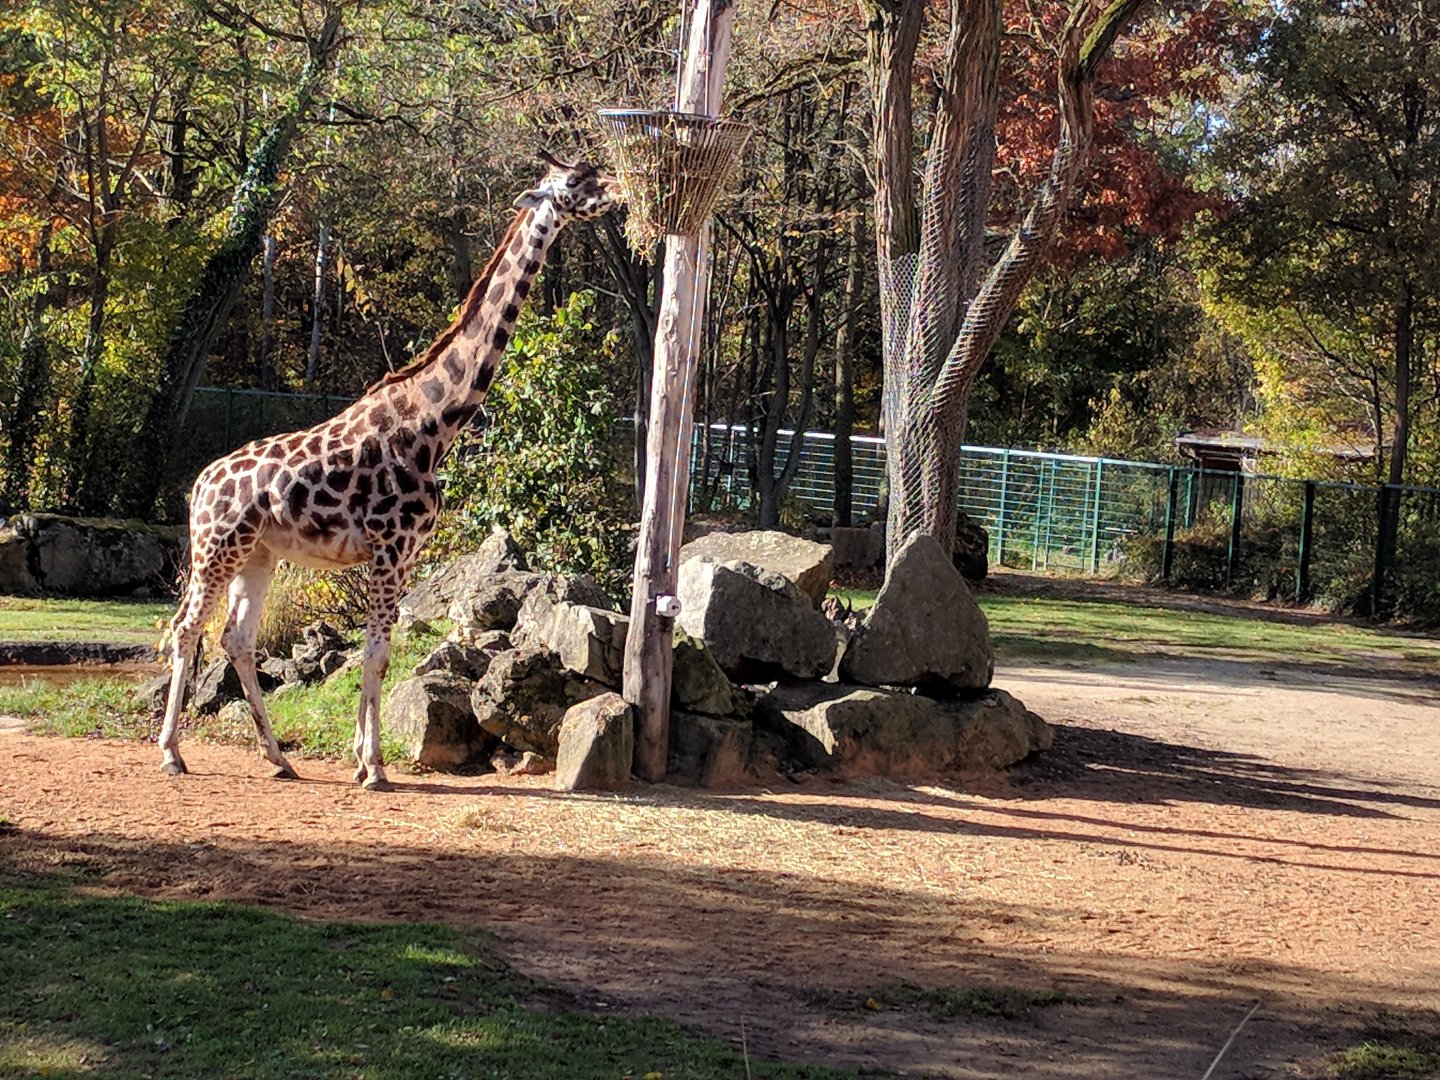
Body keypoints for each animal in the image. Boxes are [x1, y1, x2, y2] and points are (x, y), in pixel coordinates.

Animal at [158, 153, 620, 790]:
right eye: (575, 182)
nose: (620, 189)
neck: (434, 425)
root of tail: (199, 486)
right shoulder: (389, 548)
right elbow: (377, 653)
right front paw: (374, 766)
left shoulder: (401, 556)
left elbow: (377, 651)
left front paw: (359, 756)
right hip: (215, 548)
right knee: (186, 628)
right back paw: (171, 753)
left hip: (258, 555)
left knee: (237, 638)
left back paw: (279, 758)